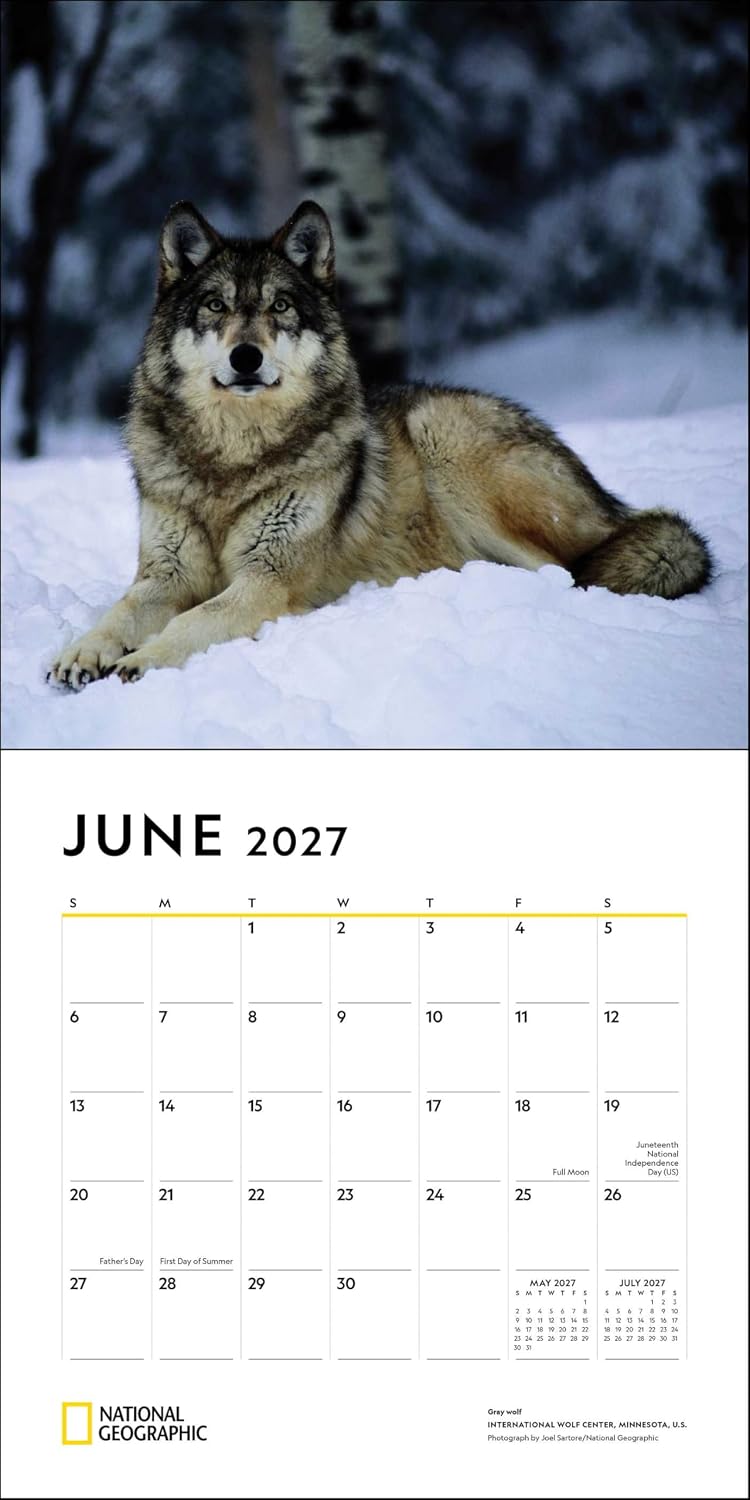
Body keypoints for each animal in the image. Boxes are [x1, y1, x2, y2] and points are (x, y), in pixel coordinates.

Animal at [49, 200, 712, 689]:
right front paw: (82, 653)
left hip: (446, 441)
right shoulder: (164, 576)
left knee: (567, 572)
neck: (232, 458)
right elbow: (120, 612)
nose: (246, 357)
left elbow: (194, 620)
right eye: (216, 305)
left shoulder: (266, 581)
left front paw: (140, 661)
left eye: (280, 306)